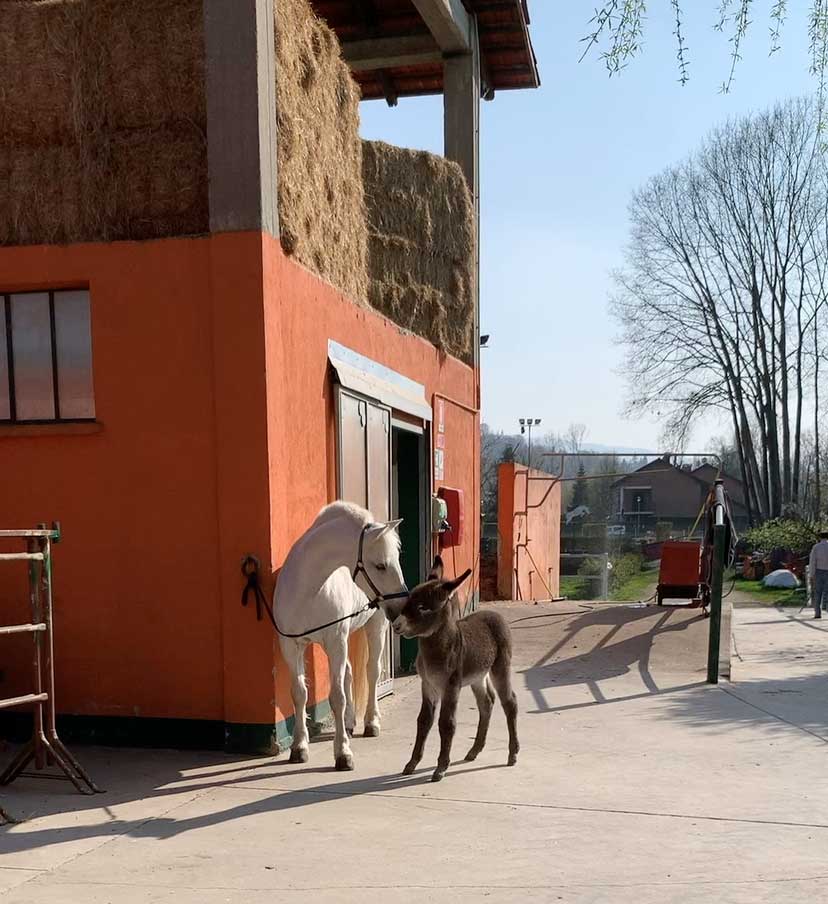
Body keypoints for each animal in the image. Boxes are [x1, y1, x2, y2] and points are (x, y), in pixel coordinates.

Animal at [274, 501, 407, 771]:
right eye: (380, 565)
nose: (401, 607)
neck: (306, 590)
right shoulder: (291, 646)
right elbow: (299, 694)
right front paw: (299, 747)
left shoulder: (336, 641)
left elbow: (337, 697)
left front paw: (343, 753)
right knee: (349, 672)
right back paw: (347, 723)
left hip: (375, 627)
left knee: (372, 671)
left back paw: (371, 722)